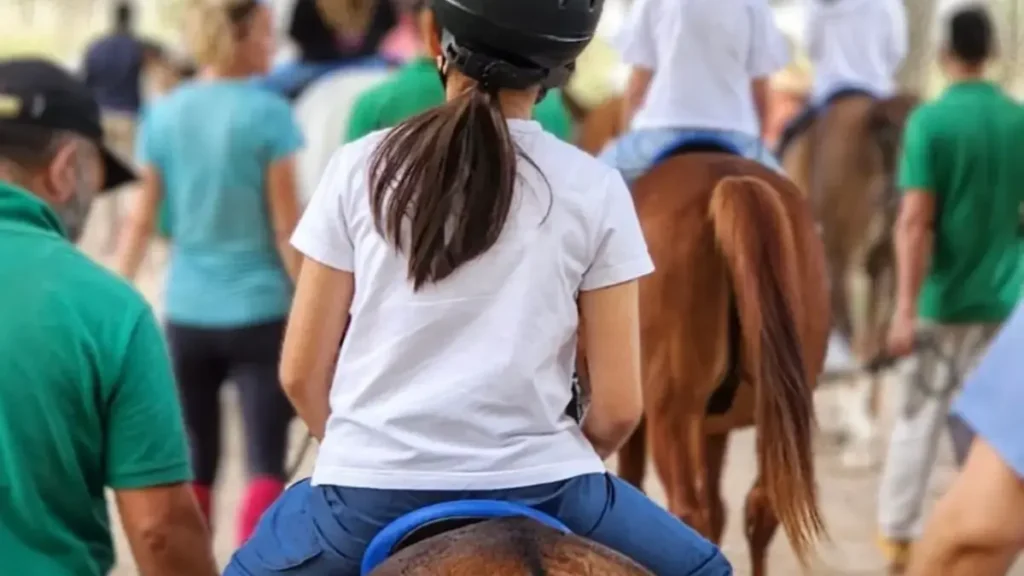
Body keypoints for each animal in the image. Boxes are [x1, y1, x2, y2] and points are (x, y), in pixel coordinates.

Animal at [577, 96, 831, 569]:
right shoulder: (714, 430)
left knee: (688, 510)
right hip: (777, 412)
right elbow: (721, 506)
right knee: (759, 507)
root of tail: (729, 184)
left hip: (670, 412)